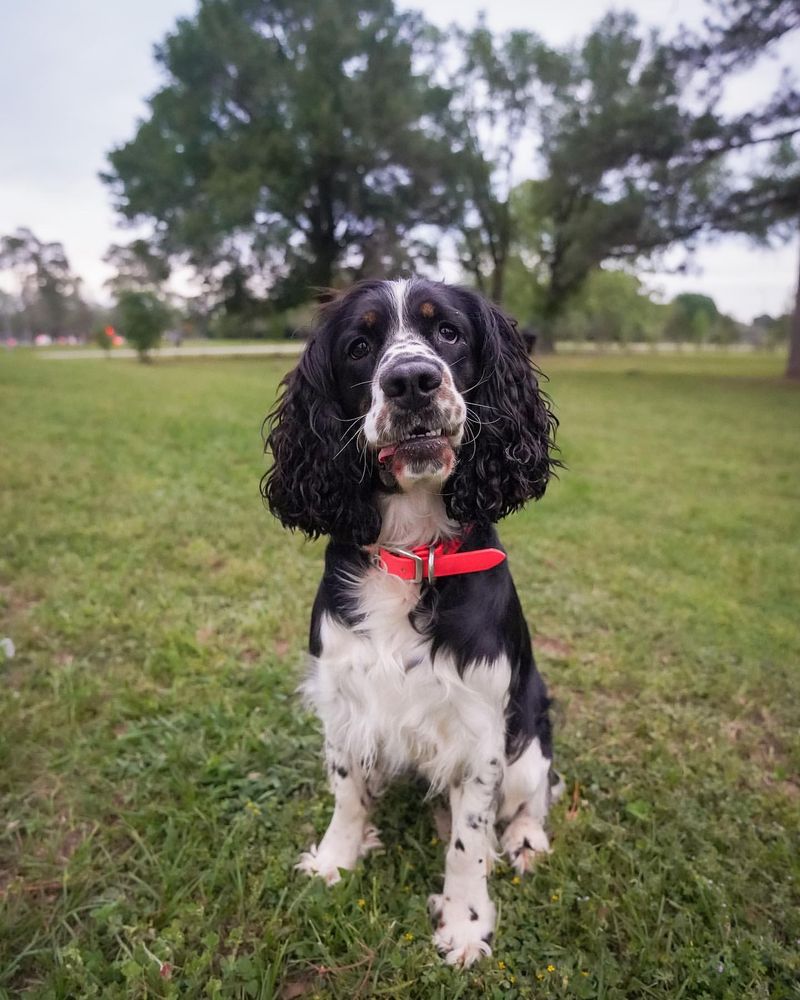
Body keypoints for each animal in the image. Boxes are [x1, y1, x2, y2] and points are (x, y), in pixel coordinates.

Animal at [264, 278, 564, 964]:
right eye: (359, 345)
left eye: (448, 332)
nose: (411, 381)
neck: (412, 551)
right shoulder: (344, 700)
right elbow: (347, 792)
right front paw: (337, 859)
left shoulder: (480, 729)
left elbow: (469, 843)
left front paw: (466, 924)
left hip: (529, 737)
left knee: (533, 795)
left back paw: (526, 842)